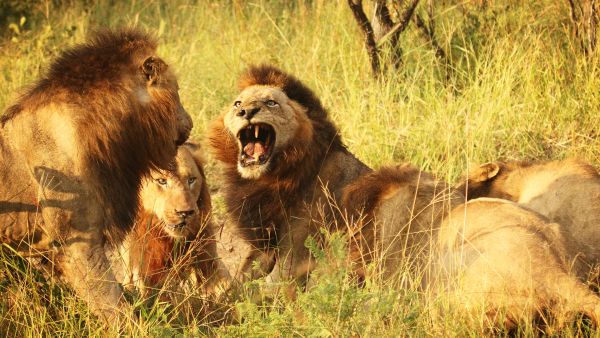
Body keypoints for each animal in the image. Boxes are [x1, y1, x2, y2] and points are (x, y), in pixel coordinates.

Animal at [110, 141, 230, 300]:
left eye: (191, 180)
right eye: (162, 181)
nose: (186, 212)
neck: (166, 239)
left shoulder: (207, 257)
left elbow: (223, 285)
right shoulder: (141, 271)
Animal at [209, 64, 372, 290]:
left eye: (271, 102)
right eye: (237, 104)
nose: (246, 112)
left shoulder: (295, 256)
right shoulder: (263, 247)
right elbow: (238, 284)